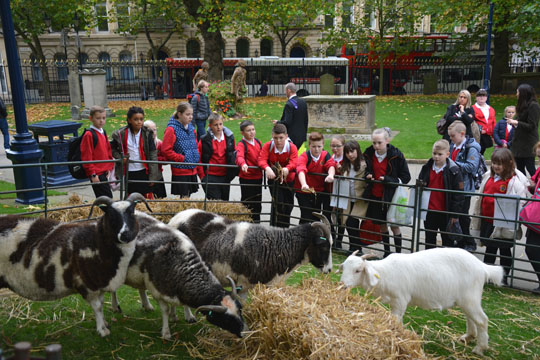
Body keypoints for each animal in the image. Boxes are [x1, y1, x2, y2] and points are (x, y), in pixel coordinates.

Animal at [0, 194, 148, 338]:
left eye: (132, 212)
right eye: (111, 214)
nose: (125, 235)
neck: (96, 241)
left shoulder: (99, 282)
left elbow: (101, 304)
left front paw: (105, 323)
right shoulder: (87, 283)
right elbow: (97, 307)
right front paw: (102, 330)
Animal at [112, 210, 247, 338]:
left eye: (240, 309)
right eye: (226, 319)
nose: (245, 333)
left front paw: (179, 316)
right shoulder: (157, 289)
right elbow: (165, 309)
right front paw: (166, 332)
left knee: (140, 288)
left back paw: (147, 305)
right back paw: (115, 306)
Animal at [340, 248, 504, 354]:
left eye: (358, 270)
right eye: (343, 268)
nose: (342, 285)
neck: (385, 274)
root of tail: (482, 266)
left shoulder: (400, 300)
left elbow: (395, 320)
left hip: (470, 297)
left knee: (482, 320)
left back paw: (480, 348)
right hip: (467, 299)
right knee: (471, 317)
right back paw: (468, 337)